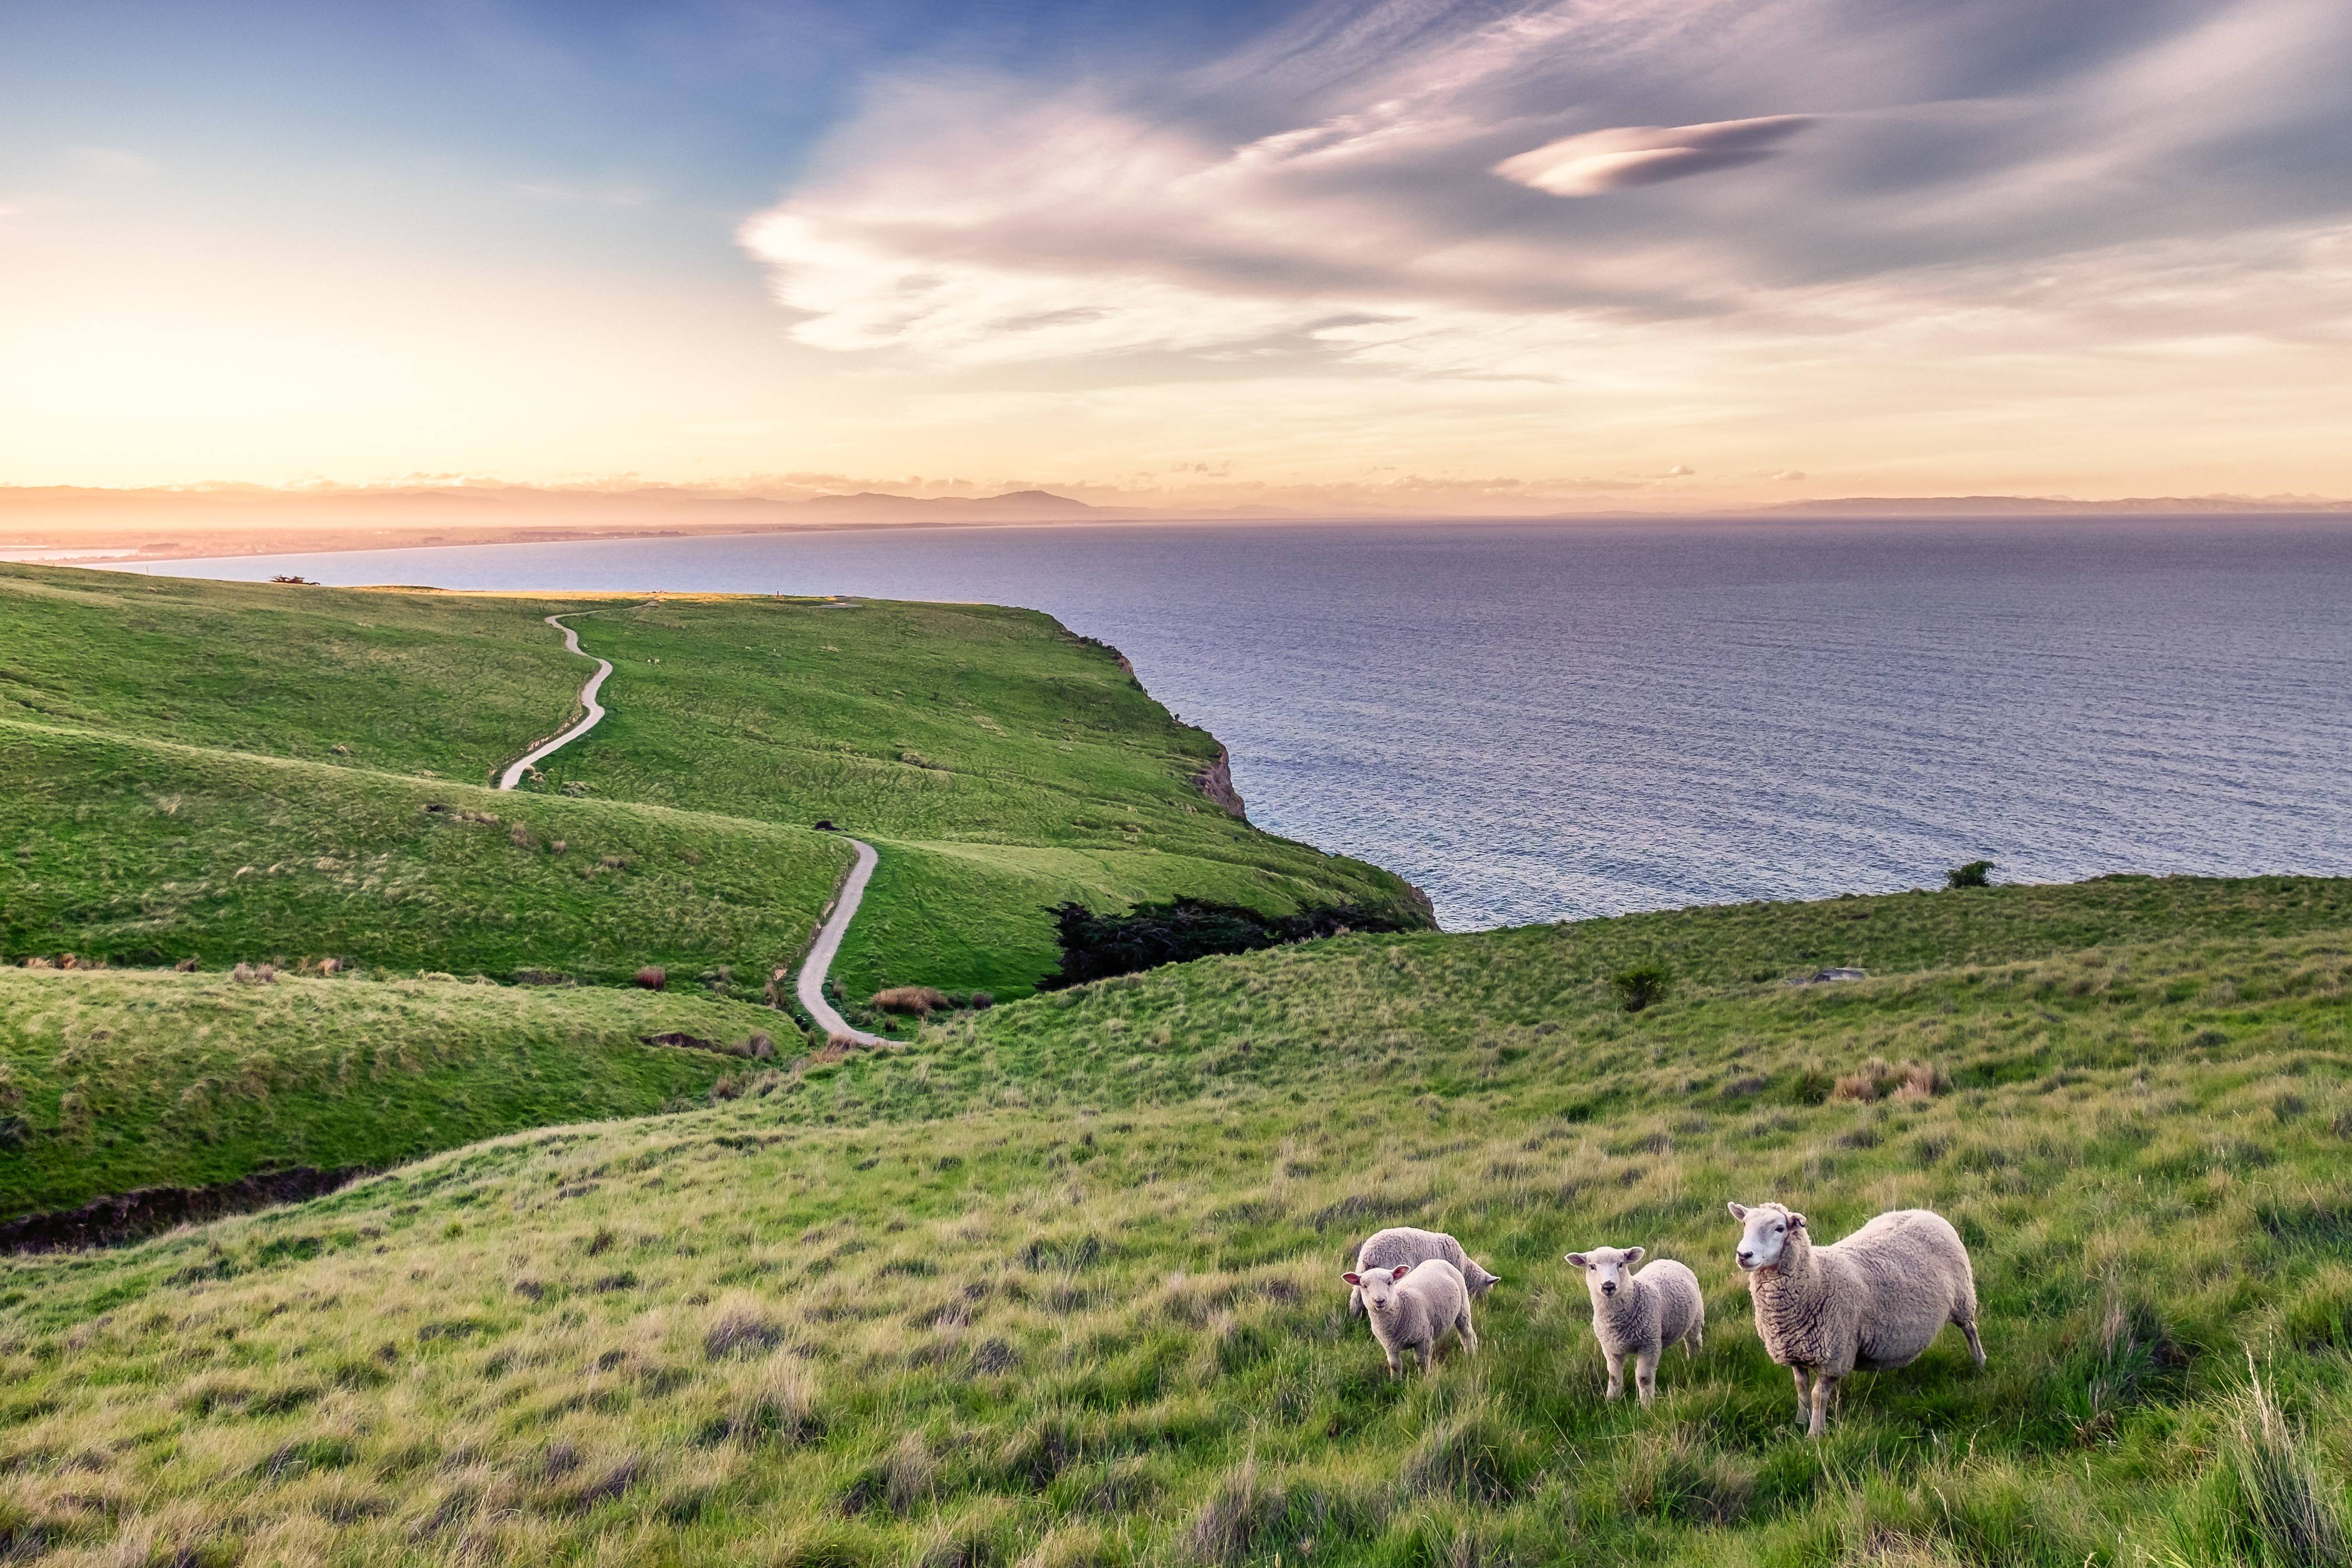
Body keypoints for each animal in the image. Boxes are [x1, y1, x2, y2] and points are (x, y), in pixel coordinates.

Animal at [1345, 1260, 1467, 1382]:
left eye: (1390, 1283)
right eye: (1364, 1286)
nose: (1380, 1300)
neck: (1401, 1307)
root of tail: (1438, 1260)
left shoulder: (1423, 1339)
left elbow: (1421, 1362)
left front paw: (1424, 1379)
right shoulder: (1389, 1346)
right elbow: (1394, 1365)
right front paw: (1395, 1382)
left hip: (1463, 1306)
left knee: (1466, 1335)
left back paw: (1470, 1354)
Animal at [1354, 1232, 1495, 1316]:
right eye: (1487, 1289)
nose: (1484, 1304)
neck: (1466, 1269)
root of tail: (1369, 1255)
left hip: (1362, 1273)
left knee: (1356, 1301)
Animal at [1561, 1250, 1712, 1410]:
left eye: (1621, 1264)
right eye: (1592, 1266)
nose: (1608, 1286)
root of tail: (1667, 1260)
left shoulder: (1649, 1345)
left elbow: (1644, 1378)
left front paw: (1647, 1407)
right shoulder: (1610, 1349)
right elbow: (1614, 1378)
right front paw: (1612, 1402)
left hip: (1696, 1319)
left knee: (1694, 1343)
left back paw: (1694, 1362)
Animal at [1731, 1203, 1985, 1438]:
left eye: (1780, 1228)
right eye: (1745, 1224)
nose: (1744, 1255)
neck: (1817, 1278)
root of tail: (1925, 1212)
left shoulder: (1835, 1355)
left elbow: (1817, 1396)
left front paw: (1815, 1434)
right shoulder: (1794, 1351)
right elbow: (1801, 1388)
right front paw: (1800, 1421)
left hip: (1962, 1298)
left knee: (1970, 1329)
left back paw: (1980, 1361)